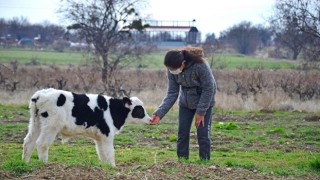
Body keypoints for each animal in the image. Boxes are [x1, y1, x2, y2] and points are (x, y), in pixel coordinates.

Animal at [23, 88, 151, 167]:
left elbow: (101, 152)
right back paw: (44, 164)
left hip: (36, 124)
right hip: (51, 126)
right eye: (139, 110)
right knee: (42, 143)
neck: (112, 109)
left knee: (28, 142)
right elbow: (110, 151)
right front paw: (113, 166)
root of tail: (39, 95)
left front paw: (105, 166)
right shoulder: (107, 134)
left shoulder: (100, 137)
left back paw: (25, 162)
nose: (150, 119)